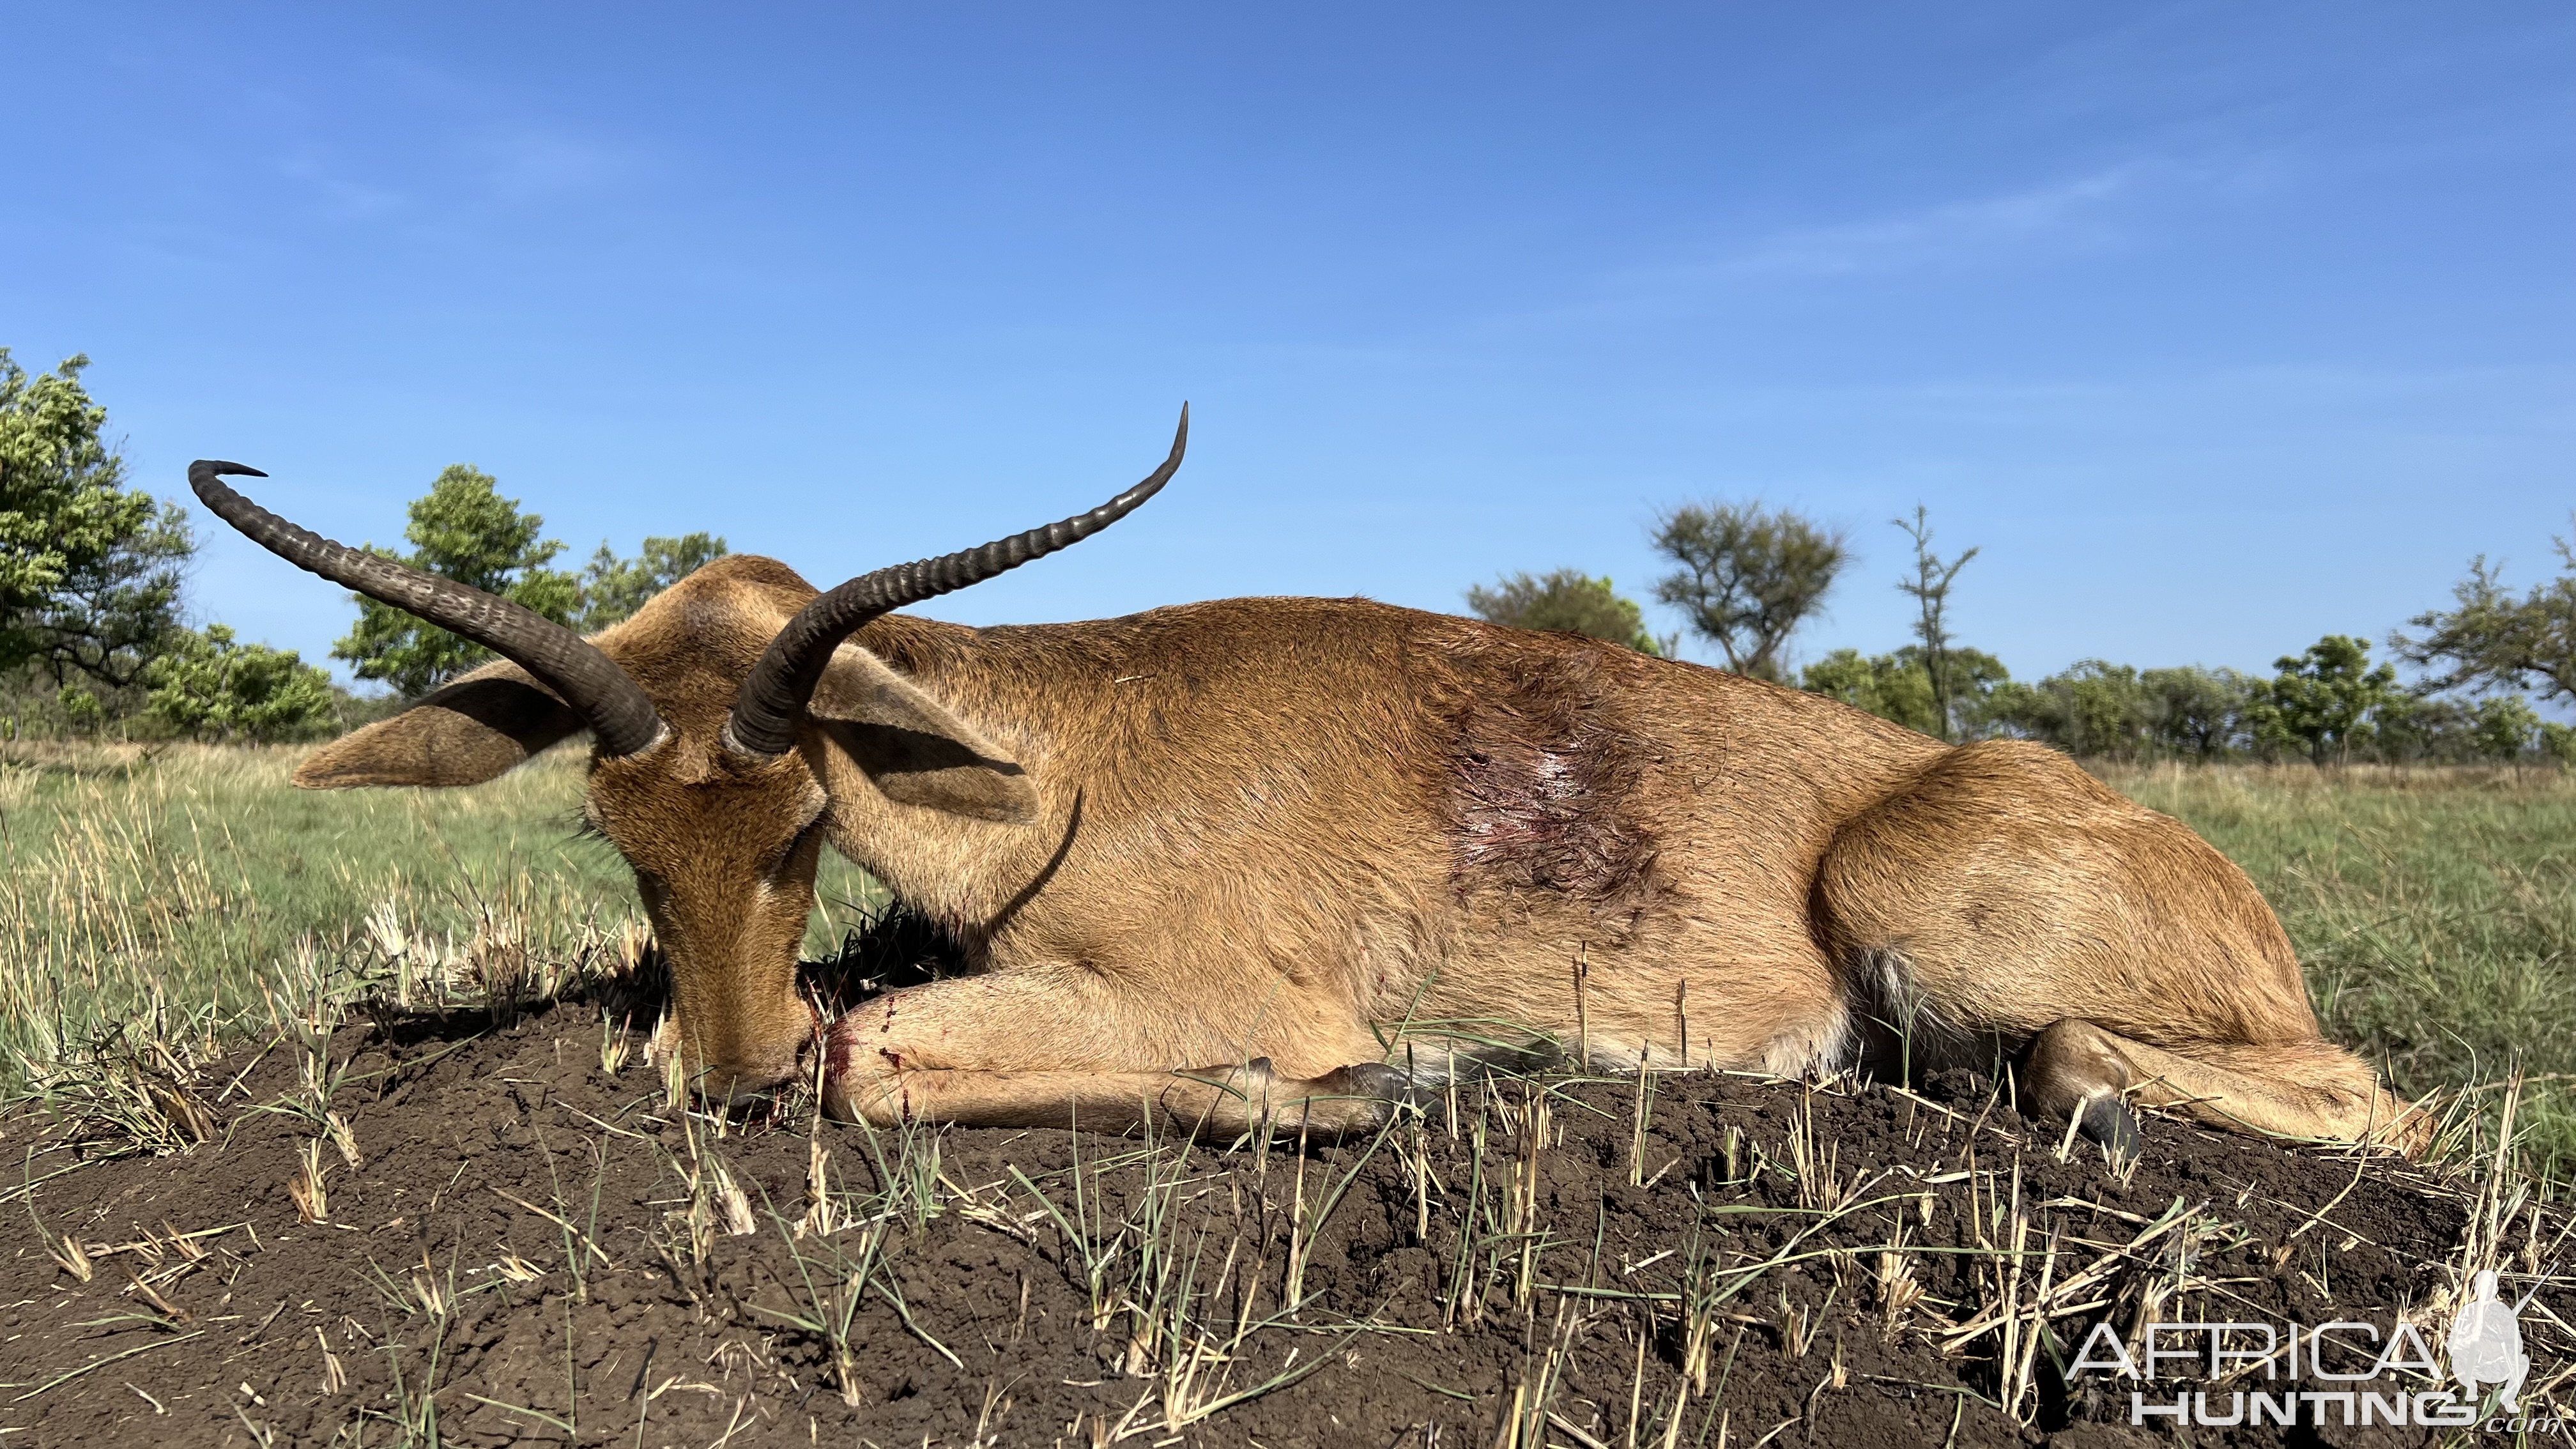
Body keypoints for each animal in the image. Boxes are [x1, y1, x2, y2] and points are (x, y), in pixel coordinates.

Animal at [190, 415, 2421, 1149]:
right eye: (612, 830)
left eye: (804, 817)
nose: (729, 1082)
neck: (1063, 769)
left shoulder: (1218, 984)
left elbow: (880, 1051)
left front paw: (1346, 1095)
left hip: (1931, 920)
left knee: (2340, 1103)